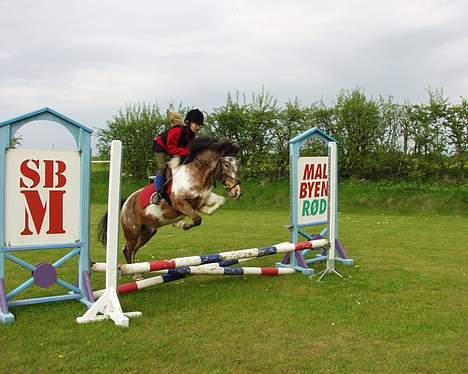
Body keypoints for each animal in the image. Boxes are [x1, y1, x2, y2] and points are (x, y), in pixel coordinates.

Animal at [95, 136, 241, 268]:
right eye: (227, 164)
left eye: (238, 165)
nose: (237, 191)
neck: (198, 174)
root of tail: (126, 203)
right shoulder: (179, 203)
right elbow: (197, 219)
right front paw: (181, 224)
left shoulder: (204, 197)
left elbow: (219, 201)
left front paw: (203, 210)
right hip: (132, 231)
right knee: (128, 249)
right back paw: (136, 274)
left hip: (148, 231)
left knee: (134, 249)